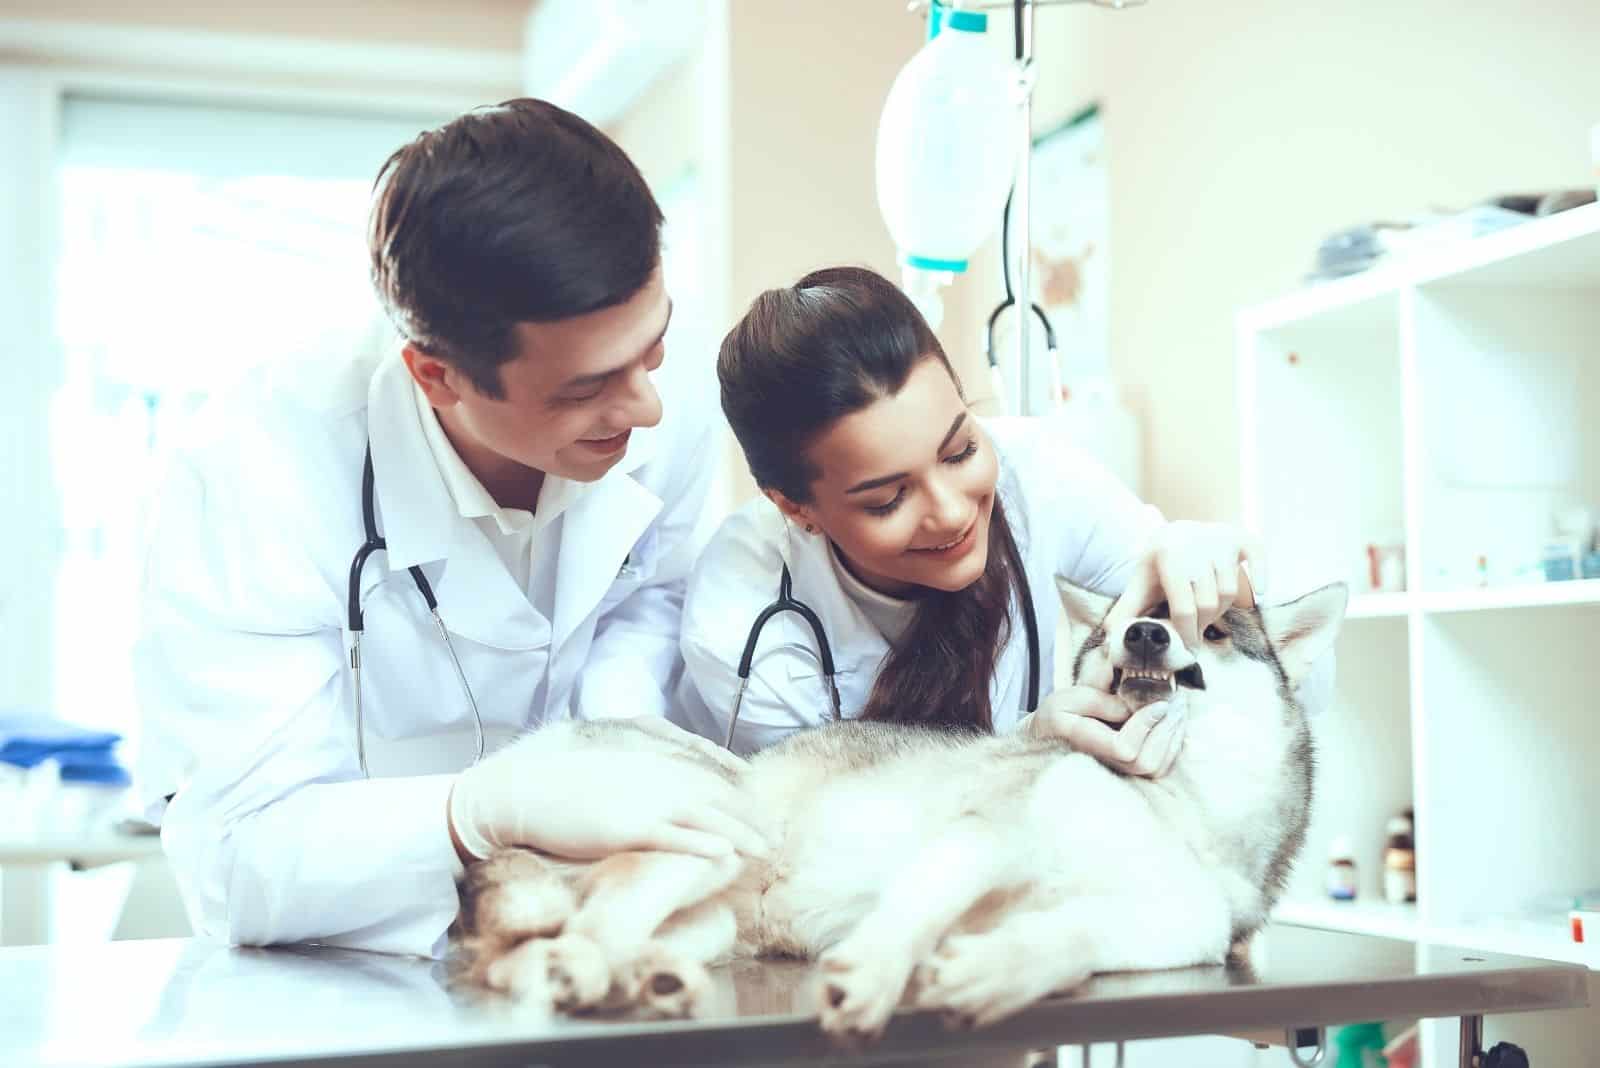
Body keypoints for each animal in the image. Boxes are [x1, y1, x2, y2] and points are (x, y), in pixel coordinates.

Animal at [457, 578, 1344, 1036]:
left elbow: (1069, 939)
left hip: (711, 918)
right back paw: (597, 965)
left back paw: (637, 977)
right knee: (609, 899)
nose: (1147, 633)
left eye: (1215, 629)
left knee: (523, 955)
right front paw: (879, 970)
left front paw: (996, 969)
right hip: (717, 828)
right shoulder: (987, 833)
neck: (1182, 803)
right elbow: (915, 910)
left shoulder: (1167, 931)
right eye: (1132, 616)